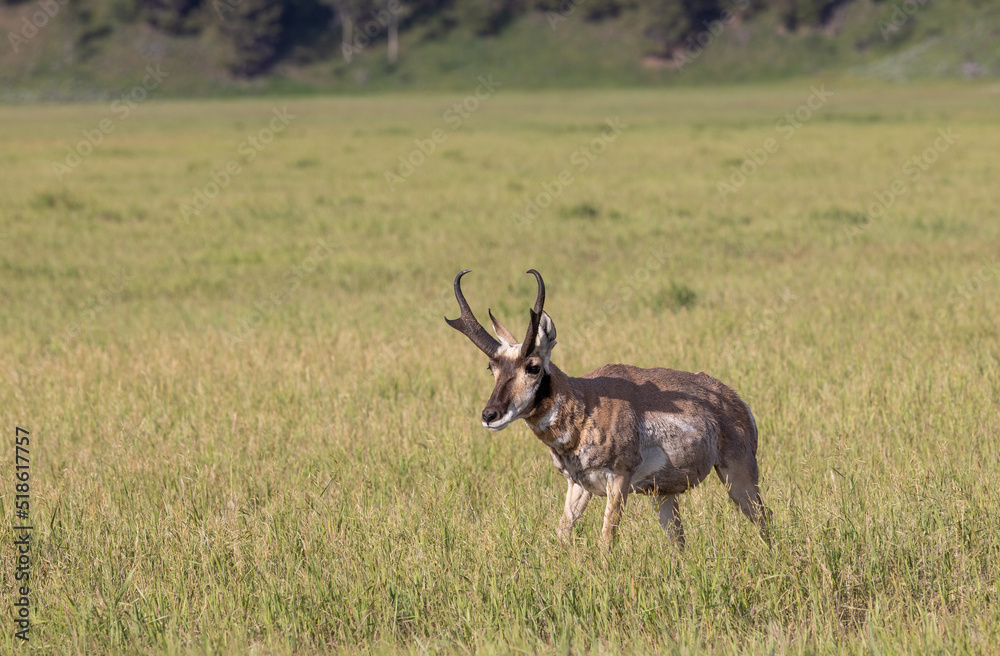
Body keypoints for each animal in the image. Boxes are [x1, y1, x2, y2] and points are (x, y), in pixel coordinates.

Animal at [446, 269, 769, 550]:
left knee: (765, 520)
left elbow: (606, 542)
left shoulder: (619, 482)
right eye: (492, 368)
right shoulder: (578, 486)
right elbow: (561, 534)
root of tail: (732, 398)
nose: (490, 415)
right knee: (679, 542)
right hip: (664, 497)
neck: (585, 403)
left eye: (533, 367)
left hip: (738, 478)